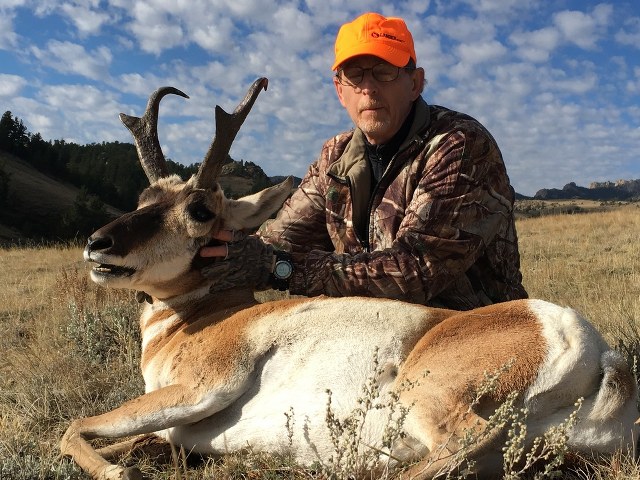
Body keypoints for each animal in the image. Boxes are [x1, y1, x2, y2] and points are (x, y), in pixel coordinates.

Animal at [61, 77, 640, 478]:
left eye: (200, 210)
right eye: (143, 199)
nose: (97, 243)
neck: (204, 317)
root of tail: (593, 346)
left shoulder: (201, 388)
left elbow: (72, 429)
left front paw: (117, 470)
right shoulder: (178, 430)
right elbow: (124, 438)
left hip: (423, 395)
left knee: (460, 445)